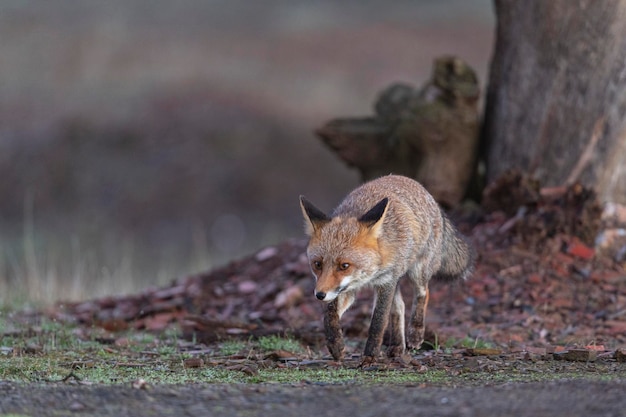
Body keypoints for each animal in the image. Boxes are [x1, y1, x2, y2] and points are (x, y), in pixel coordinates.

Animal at [300, 174, 470, 362]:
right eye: (317, 264)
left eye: (344, 266)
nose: (319, 295)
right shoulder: (347, 289)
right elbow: (330, 315)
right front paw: (335, 344)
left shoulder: (386, 282)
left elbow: (378, 322)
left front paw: (370, 356)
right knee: (399, 307)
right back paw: (397, 346)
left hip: (417, 271)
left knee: (423, 294)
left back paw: (415, 333)